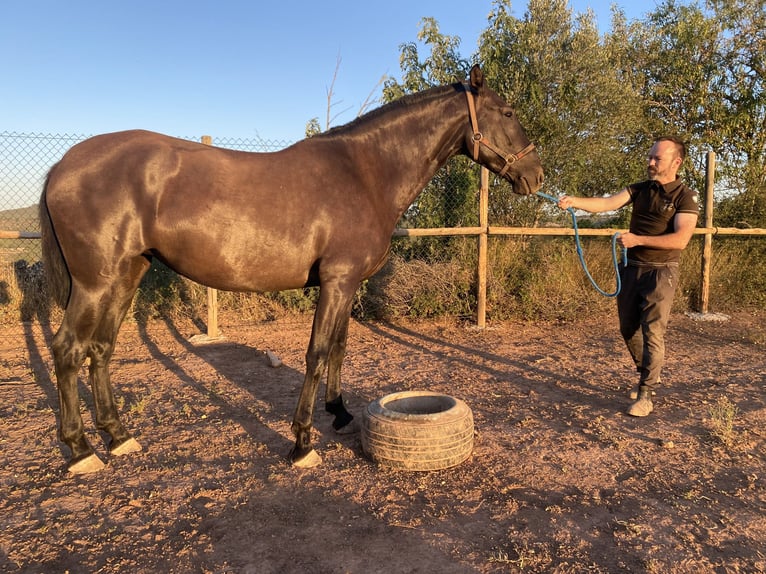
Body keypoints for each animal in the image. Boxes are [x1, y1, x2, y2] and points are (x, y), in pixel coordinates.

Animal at [40, 65, 544, 474]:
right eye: (508, 111)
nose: (536, 177)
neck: (365, 172)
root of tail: (62, 165)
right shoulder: (337, 282)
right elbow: (317, 354)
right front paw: (302, 442)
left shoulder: (346, 284)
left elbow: (339, 347)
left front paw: (339, 414)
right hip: (95, 283)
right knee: (68, 349)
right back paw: (81, 450)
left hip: (127, 275)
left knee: (100, 349)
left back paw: (118, 437)